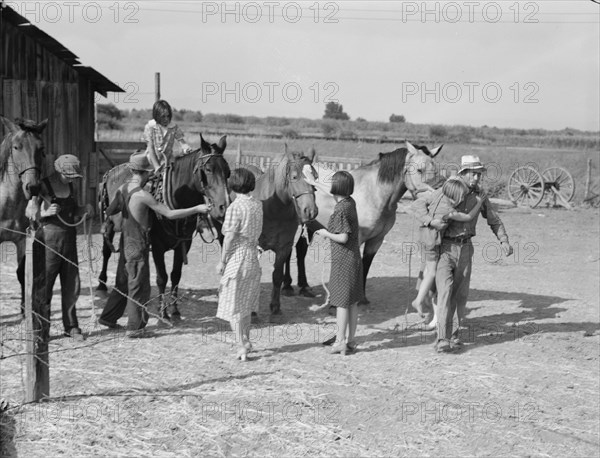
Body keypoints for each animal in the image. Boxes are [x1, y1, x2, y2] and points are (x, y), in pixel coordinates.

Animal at [97, 134, 231, 320]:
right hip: (109, 224)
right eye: (208, 169)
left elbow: (175, 275)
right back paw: (102, 283)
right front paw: (162, 311)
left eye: (228, 172)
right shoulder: (157, 246)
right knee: (106, 251)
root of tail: (112, 170)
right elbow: (162, 277)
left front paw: (174, 309)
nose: (222, 208)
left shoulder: (184, 243)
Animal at [240, 147, 322, 318]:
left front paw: (275, 306)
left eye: (316, 177)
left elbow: (277, 276)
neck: (273, 207)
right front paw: (251, 311)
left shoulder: (284, 246)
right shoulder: (255, 247)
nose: (310, 211)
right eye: (294, 176)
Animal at [284, 140, 442, 304]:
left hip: (310, 225)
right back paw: (287, 287)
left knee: (300, 249)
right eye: (419, 170)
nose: (434, 197)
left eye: (436, 170)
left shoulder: (376, 240)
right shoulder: (356, 238)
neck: (374, 193)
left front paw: (362, 298)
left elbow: (365, 265)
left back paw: (304, 287)